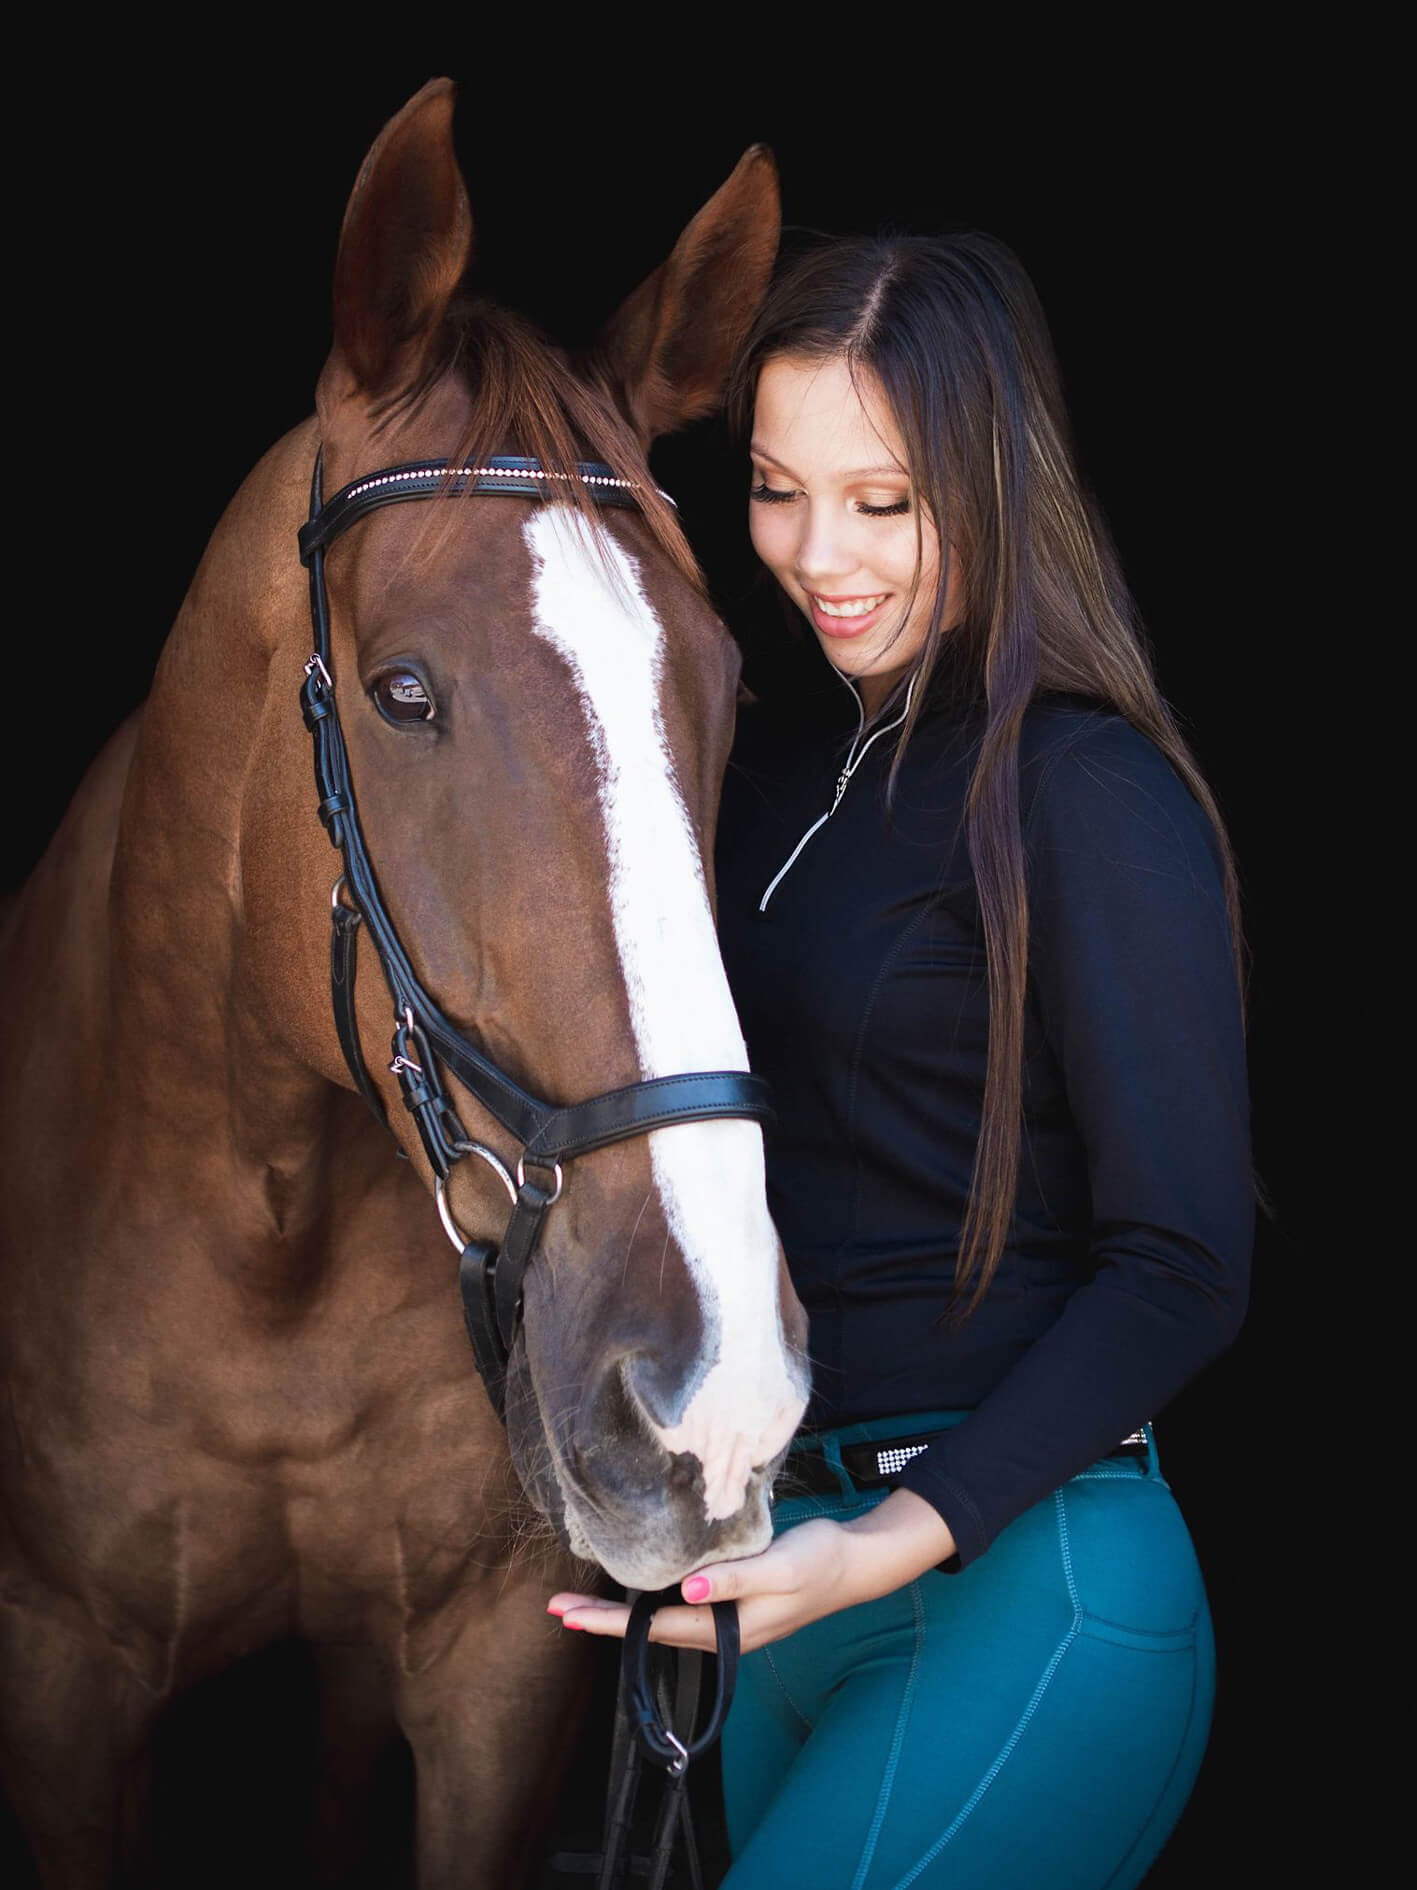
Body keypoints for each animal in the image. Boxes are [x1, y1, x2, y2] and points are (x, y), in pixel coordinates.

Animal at [0, 78, 809, 1888]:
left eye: (731, 685)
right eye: (404, 692)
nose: (712, 1387)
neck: (266, 1246)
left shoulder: (495, 1678)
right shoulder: (64, 1679)